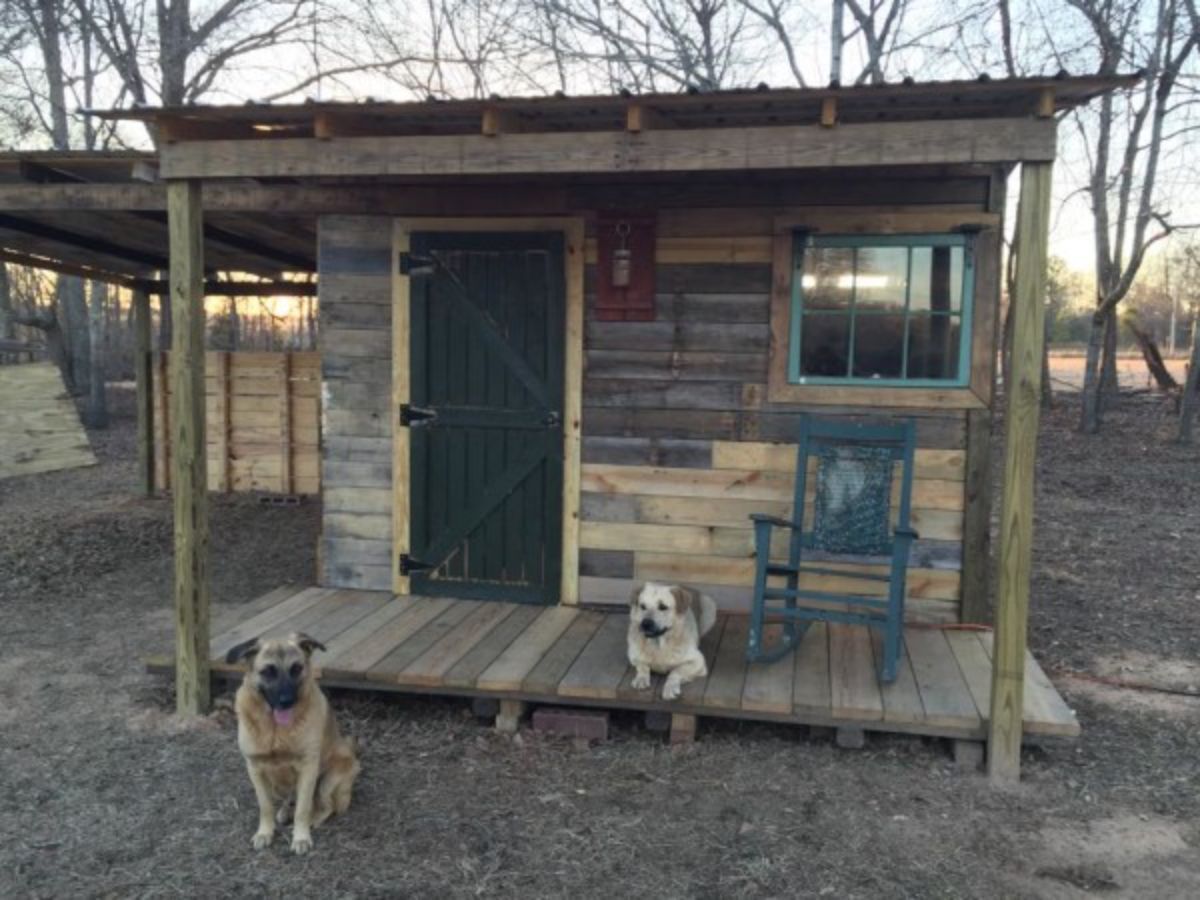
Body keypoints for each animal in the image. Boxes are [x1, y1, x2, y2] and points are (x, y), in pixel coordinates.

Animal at [223, 633, 357, 859]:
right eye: (268, 671)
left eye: (296, 668)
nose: (287, 701)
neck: (275, 730)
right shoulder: (255, 769)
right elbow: (265, 806)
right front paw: (265, 833)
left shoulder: (308, 767)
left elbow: (303, 809)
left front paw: (301, 837)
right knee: (290, 800)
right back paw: (285, 811)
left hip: (328, 779)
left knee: (325, 806)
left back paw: (311, 820)